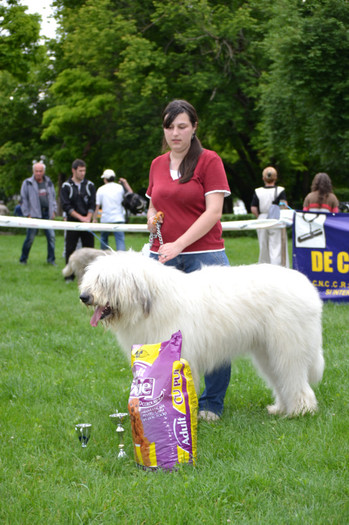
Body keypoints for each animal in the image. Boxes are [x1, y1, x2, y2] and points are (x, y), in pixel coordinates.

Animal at [79, 251, 324, 418]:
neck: (152, 302)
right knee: (281, 380)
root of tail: (308, 288)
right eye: (91, 279)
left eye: (105, 281)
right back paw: (281, 408)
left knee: (294, 378)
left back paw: (300, 410)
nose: (84, 296)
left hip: (287, 346)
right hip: (267, 352)